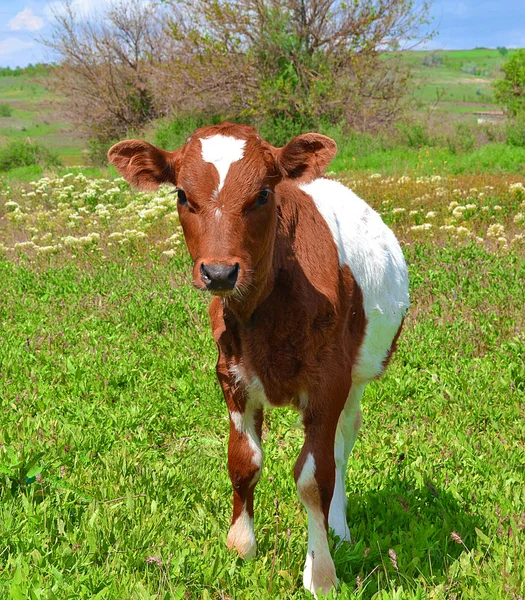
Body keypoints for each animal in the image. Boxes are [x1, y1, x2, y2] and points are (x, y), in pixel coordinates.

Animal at [107, 122, 410, 596]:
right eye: (182, 194)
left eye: (264, 194)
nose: (218, 272)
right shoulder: (232, 375)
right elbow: (243, 462)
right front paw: (241, 547)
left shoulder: (329, 381)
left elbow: (315, 477)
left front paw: (321, 573)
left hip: (359, 376)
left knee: (342, 446)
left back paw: (339, 527)